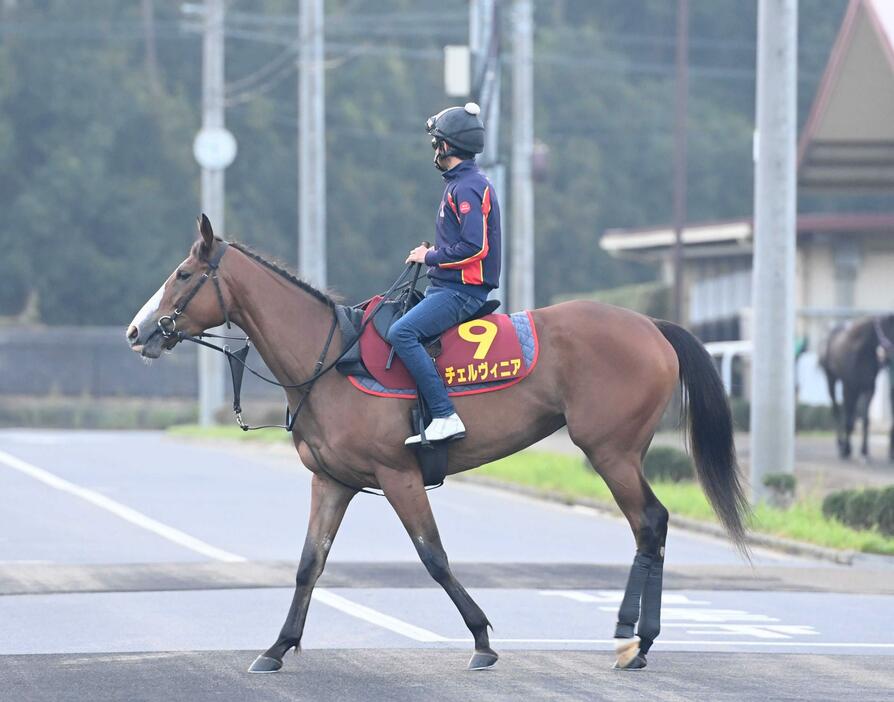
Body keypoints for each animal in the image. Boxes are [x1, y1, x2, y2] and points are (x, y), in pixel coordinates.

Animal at [126, 217, 748, 672]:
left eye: (183, 273)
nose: (137, 330)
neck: (334, 359)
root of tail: (651, 326)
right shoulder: (332, 481)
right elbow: (309, 564)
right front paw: (278, 648)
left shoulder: (399, 476)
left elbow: (434, 557)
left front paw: (481, 640)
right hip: (618, 453)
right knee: (652, 526)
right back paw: (639, 640)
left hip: (610, 452)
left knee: (649, 523)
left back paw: (632, 638)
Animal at [824, 318, 894, 462]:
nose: (886, 357)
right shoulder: (849, 387)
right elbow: (848, 419)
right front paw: (846, 450)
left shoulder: (868, 388)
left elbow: (865, 420)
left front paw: (864, 452)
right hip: (831, 380)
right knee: (836, 410)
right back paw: (840, 445)